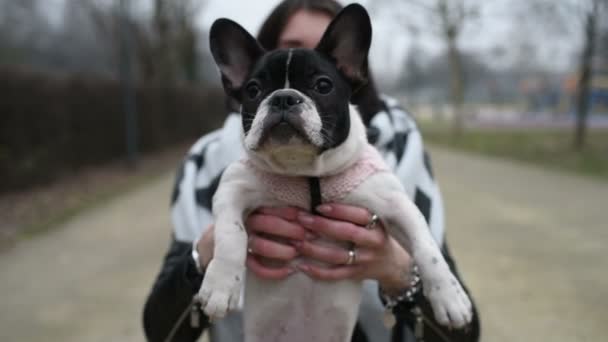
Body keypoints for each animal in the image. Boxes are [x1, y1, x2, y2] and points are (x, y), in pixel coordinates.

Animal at [200, 3, 470, 342]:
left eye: (323, 86)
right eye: (253, 89)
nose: (283, 97)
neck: (306, 174)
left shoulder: (397, 206)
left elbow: (427, 248)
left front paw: (450, 297)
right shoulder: (232, 189)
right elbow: (230, 234)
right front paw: (220, 287)